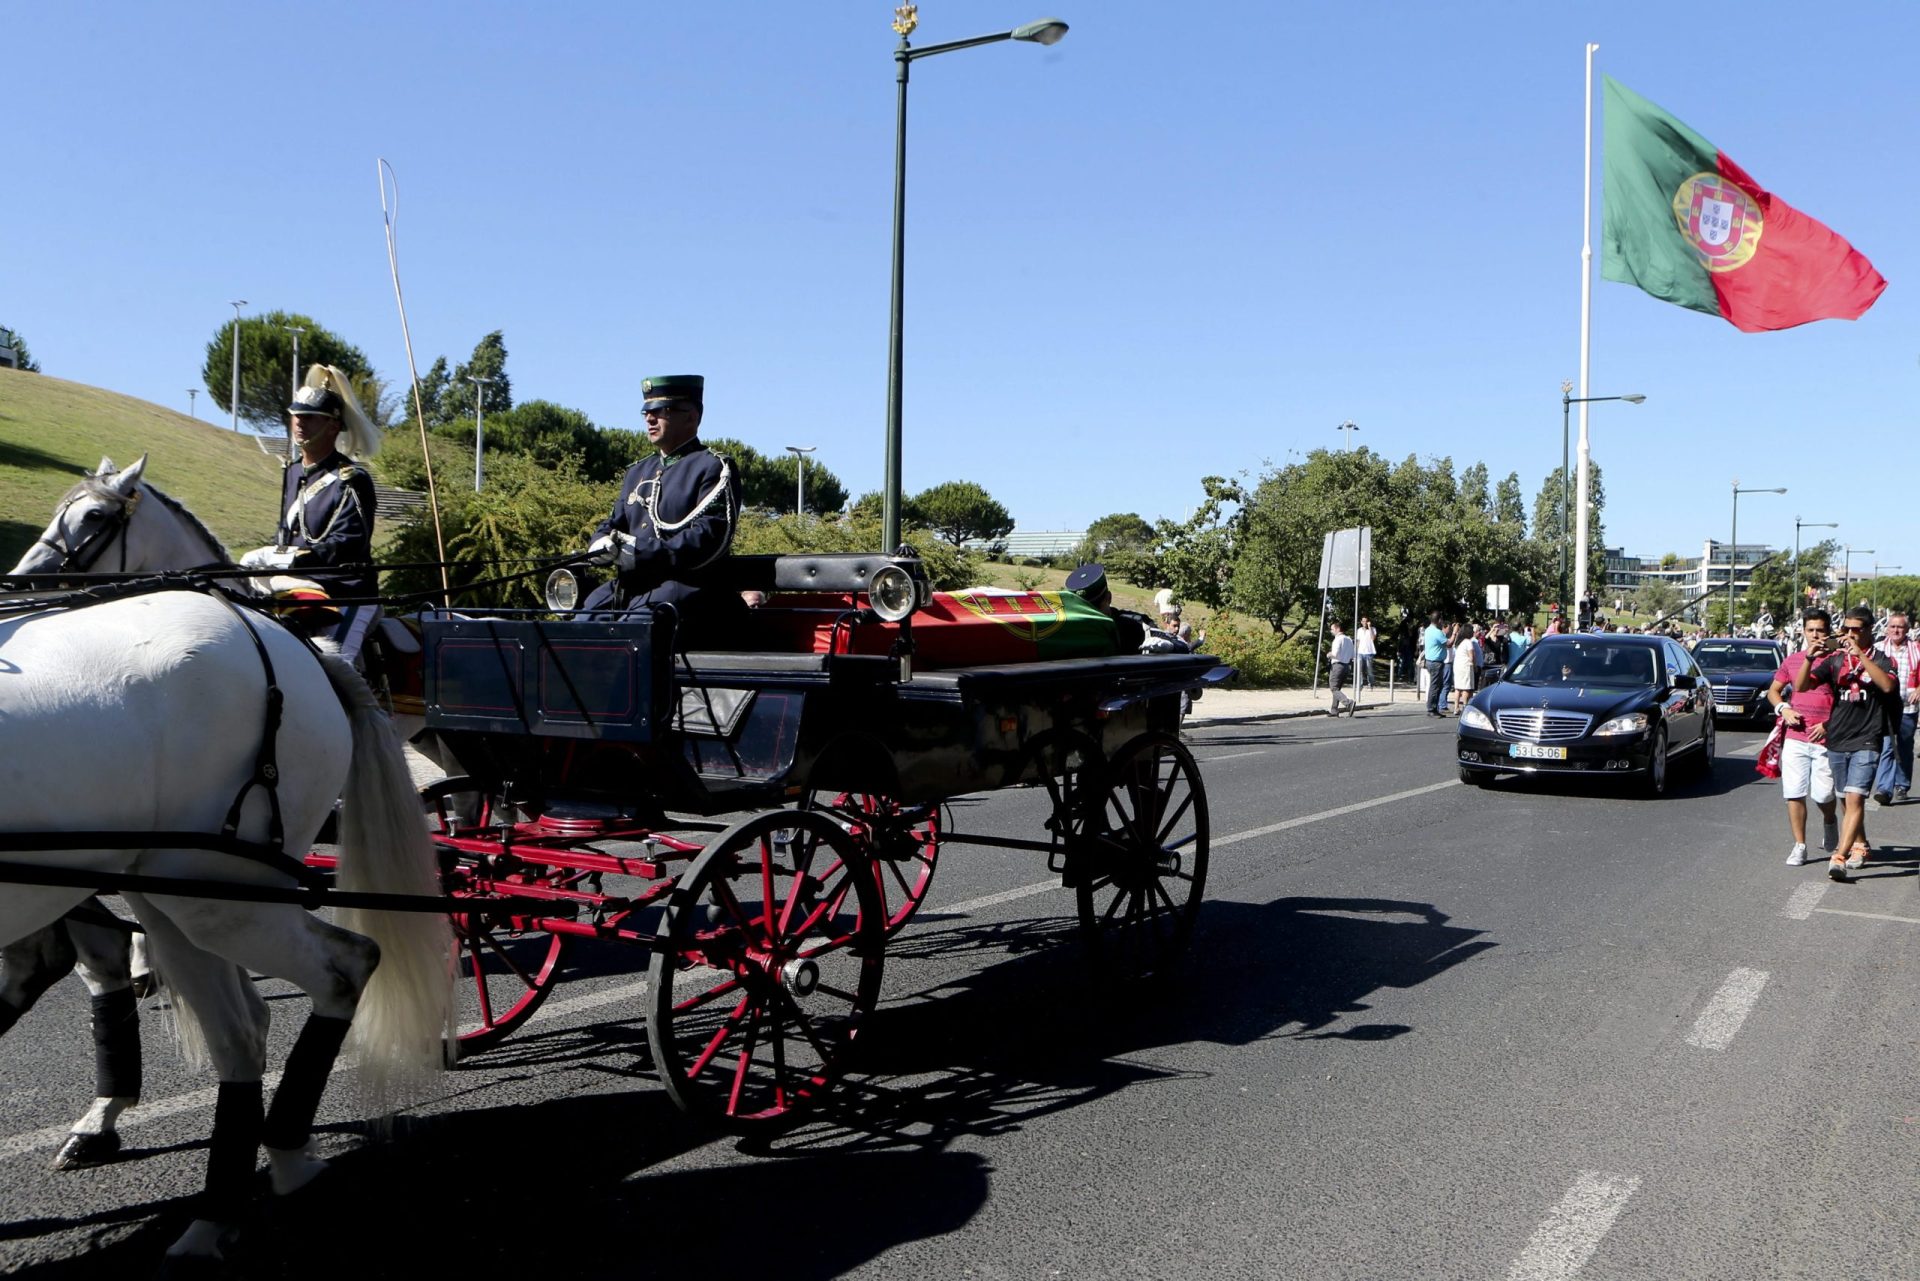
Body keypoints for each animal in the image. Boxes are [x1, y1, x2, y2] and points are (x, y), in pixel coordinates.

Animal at [0, 587, 451, 1267]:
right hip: (171, 894)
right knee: (239, 1027)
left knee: (334, 973)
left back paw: (266, 1166)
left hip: (218, 896)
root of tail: (293, 642)